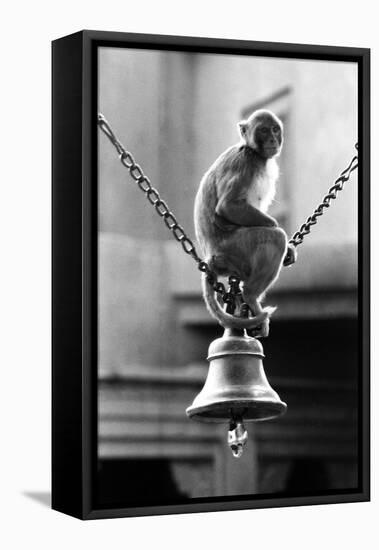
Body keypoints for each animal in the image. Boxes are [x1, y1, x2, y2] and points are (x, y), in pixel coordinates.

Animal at [196, 108, 296, 336]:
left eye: (275, 129)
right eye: (263, 130)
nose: (272, 139)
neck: (256, 154)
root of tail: (211, 257)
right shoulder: (244, 162)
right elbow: (228, 206)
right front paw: (282, 235)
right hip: (236, 248)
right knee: (274, 239)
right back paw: (250, 296)